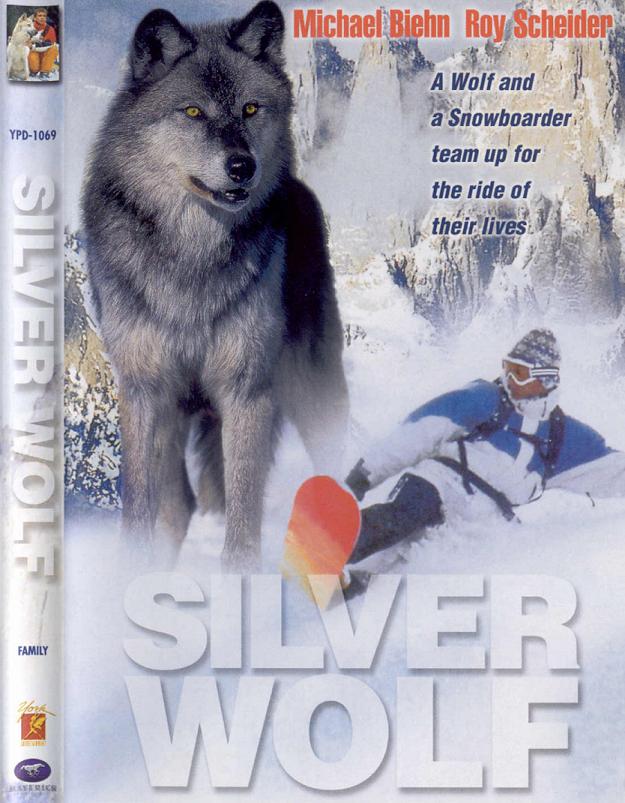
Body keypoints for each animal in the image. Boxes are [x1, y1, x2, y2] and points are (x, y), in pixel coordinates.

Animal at [82, 2, 348, 569]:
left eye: (250, 109)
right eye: (192, 113)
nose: (242, 166)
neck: (192, 257)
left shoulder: (246, 390)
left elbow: (243, 521)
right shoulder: (144, 391)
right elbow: (139, 511)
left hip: (314, 390)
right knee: (177, 507)